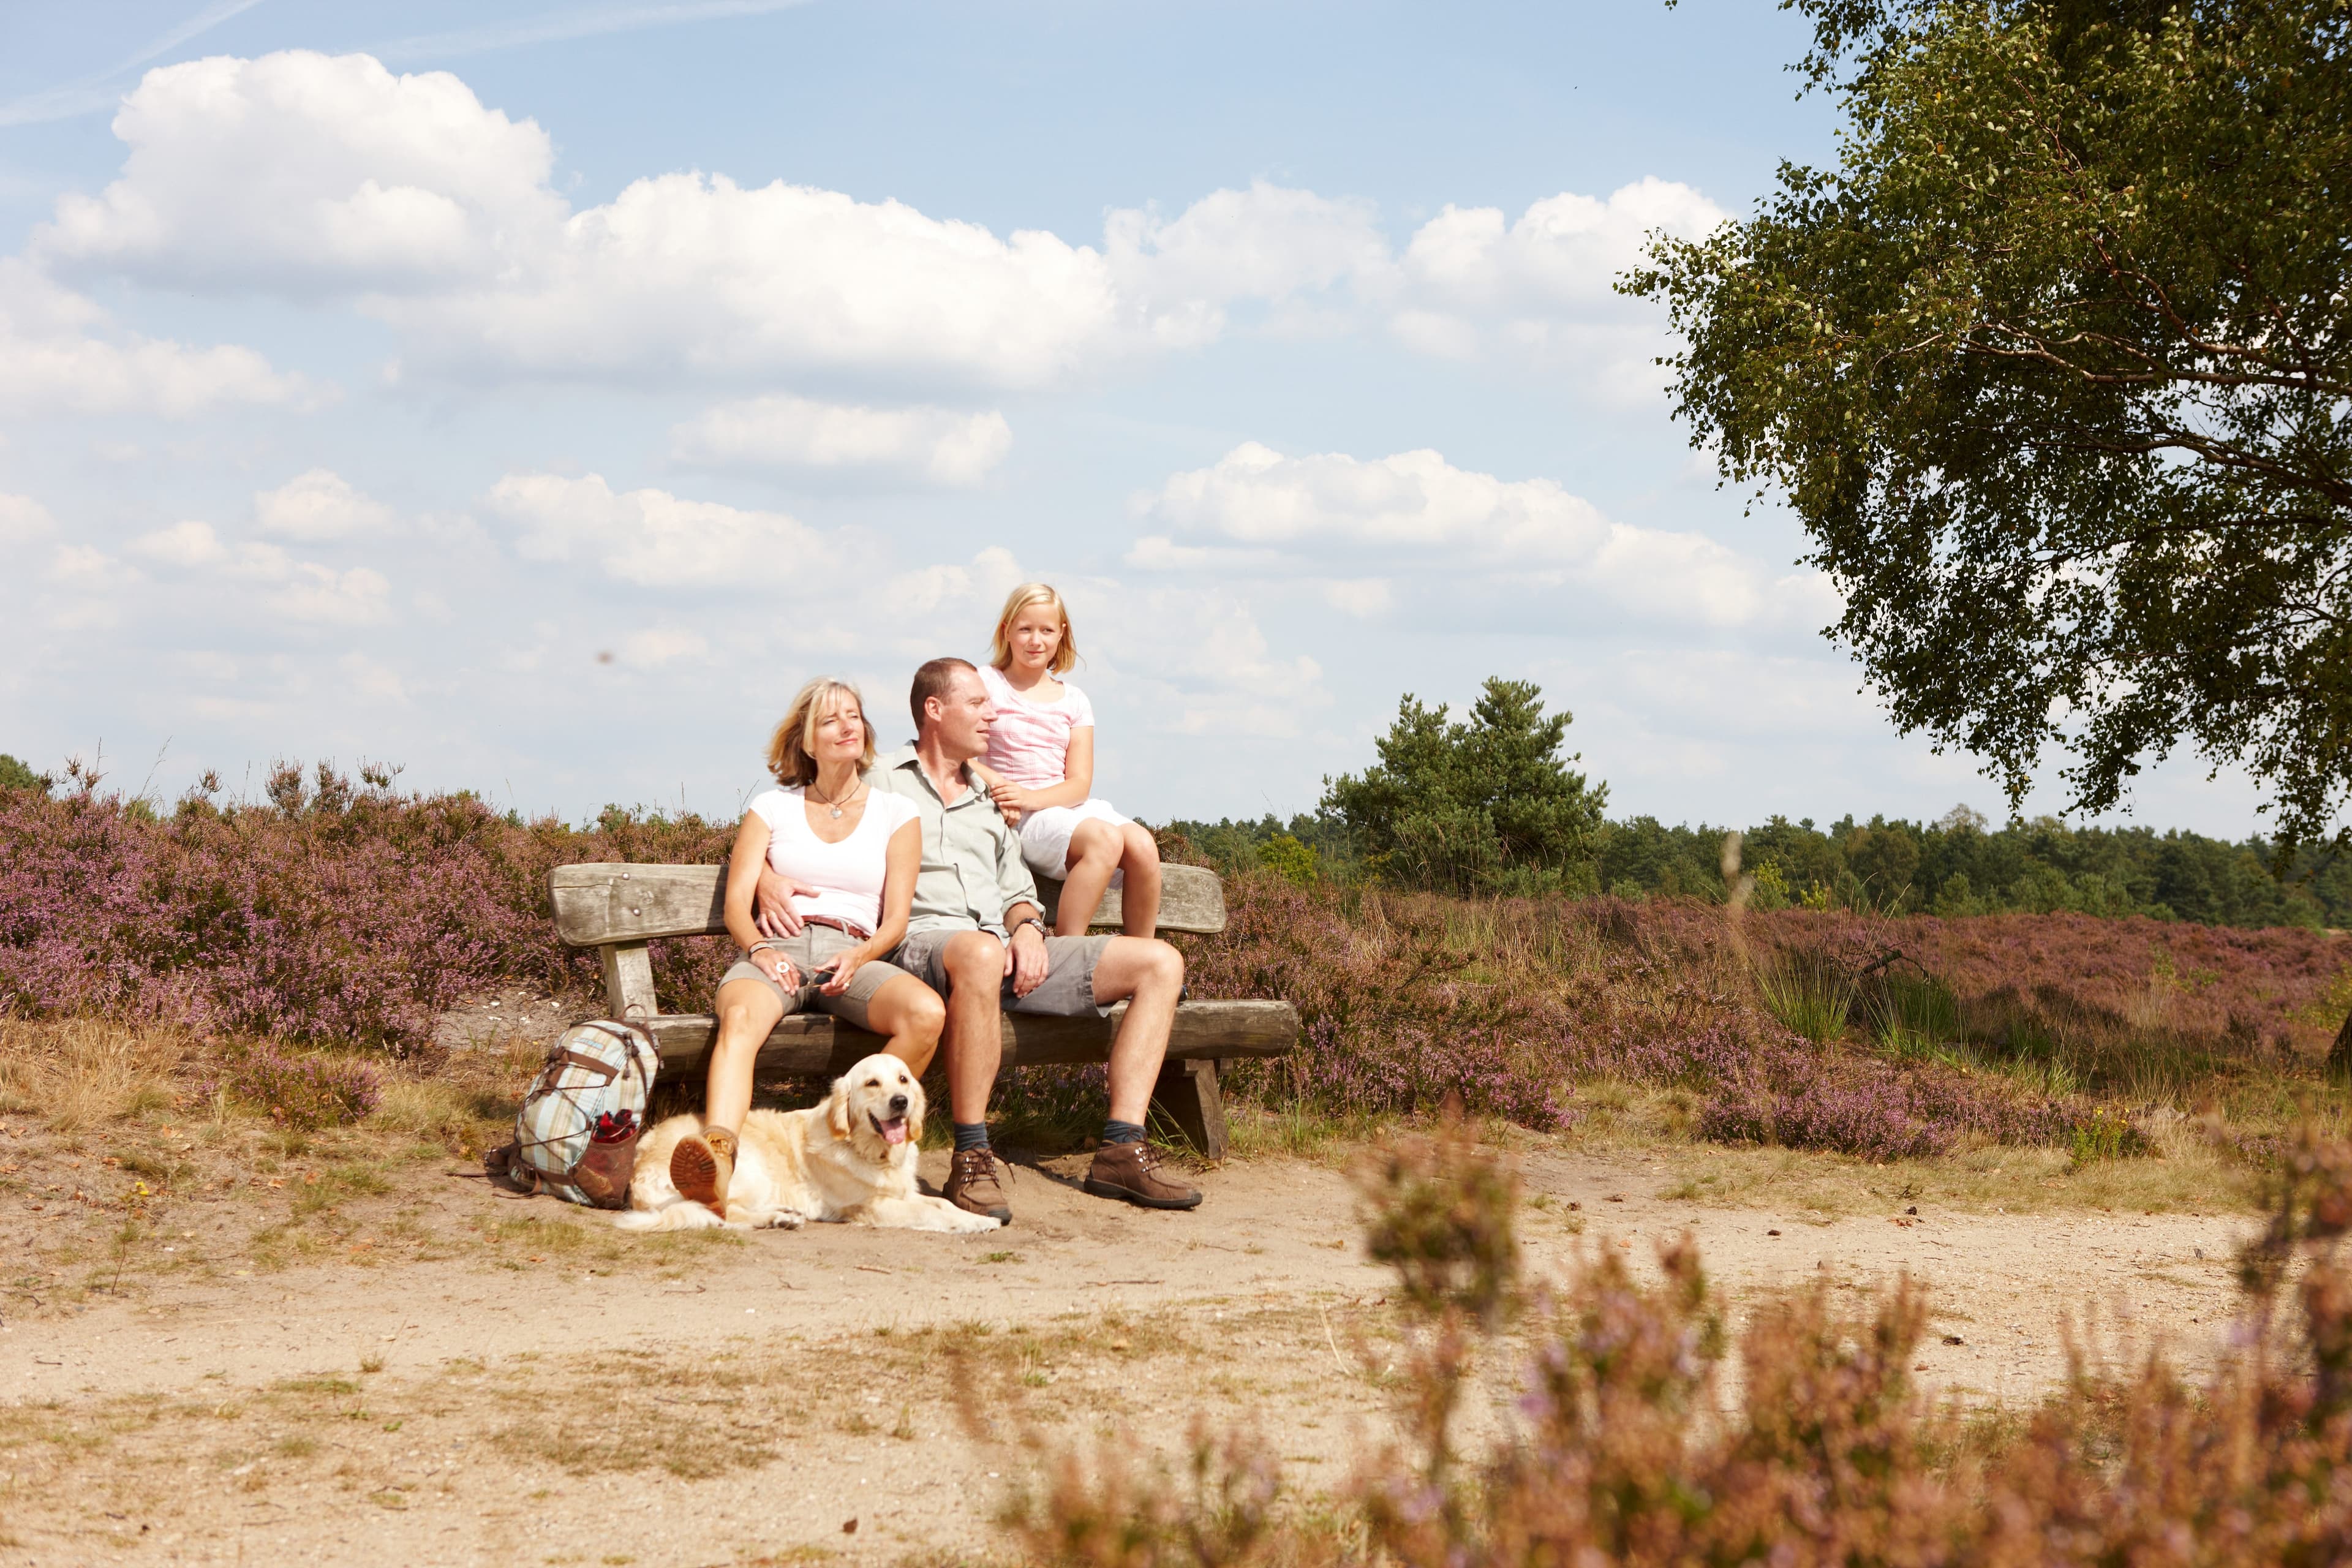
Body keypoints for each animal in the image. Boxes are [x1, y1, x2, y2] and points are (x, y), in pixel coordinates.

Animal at [616, 1053, 1001, 1241]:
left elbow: (942, 1204)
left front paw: (974, 1218)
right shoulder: (871, 1207)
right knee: (722, 1213)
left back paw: (782, 1216)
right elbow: (932, 1213)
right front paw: (971, 1225)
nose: (901, 1102)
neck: (870, 1151)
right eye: (872, 1083)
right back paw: (777, 1218)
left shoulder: (903, 1193)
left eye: (903, 1079)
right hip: (750, 1171)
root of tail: (640, 1164)